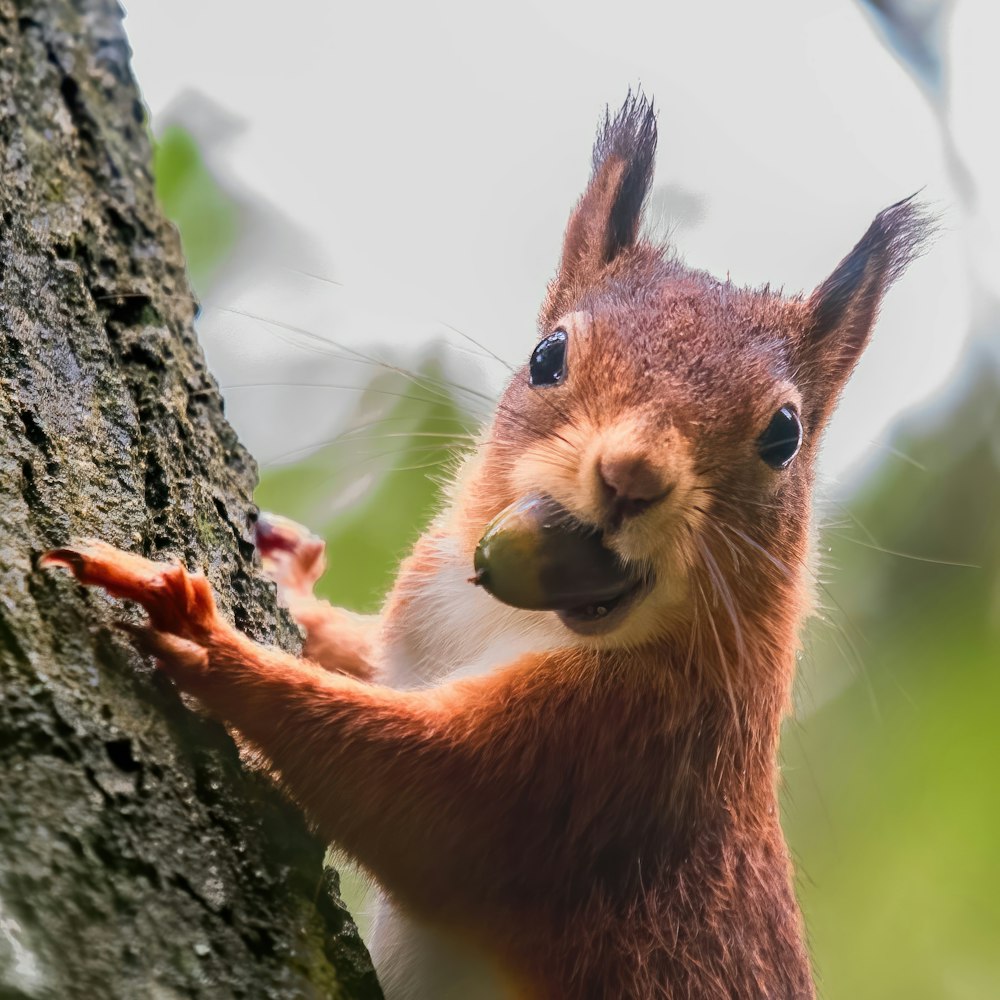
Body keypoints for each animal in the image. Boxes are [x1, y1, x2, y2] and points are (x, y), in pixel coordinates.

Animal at [41, 95, 928, 1000]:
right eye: (548, 355)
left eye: (784, 435)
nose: (632, 474)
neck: (511, 621)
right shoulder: (416, 642)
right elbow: (360, 660)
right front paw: (288, 589)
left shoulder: (613, 761)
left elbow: (421, 796)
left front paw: (197, 631)